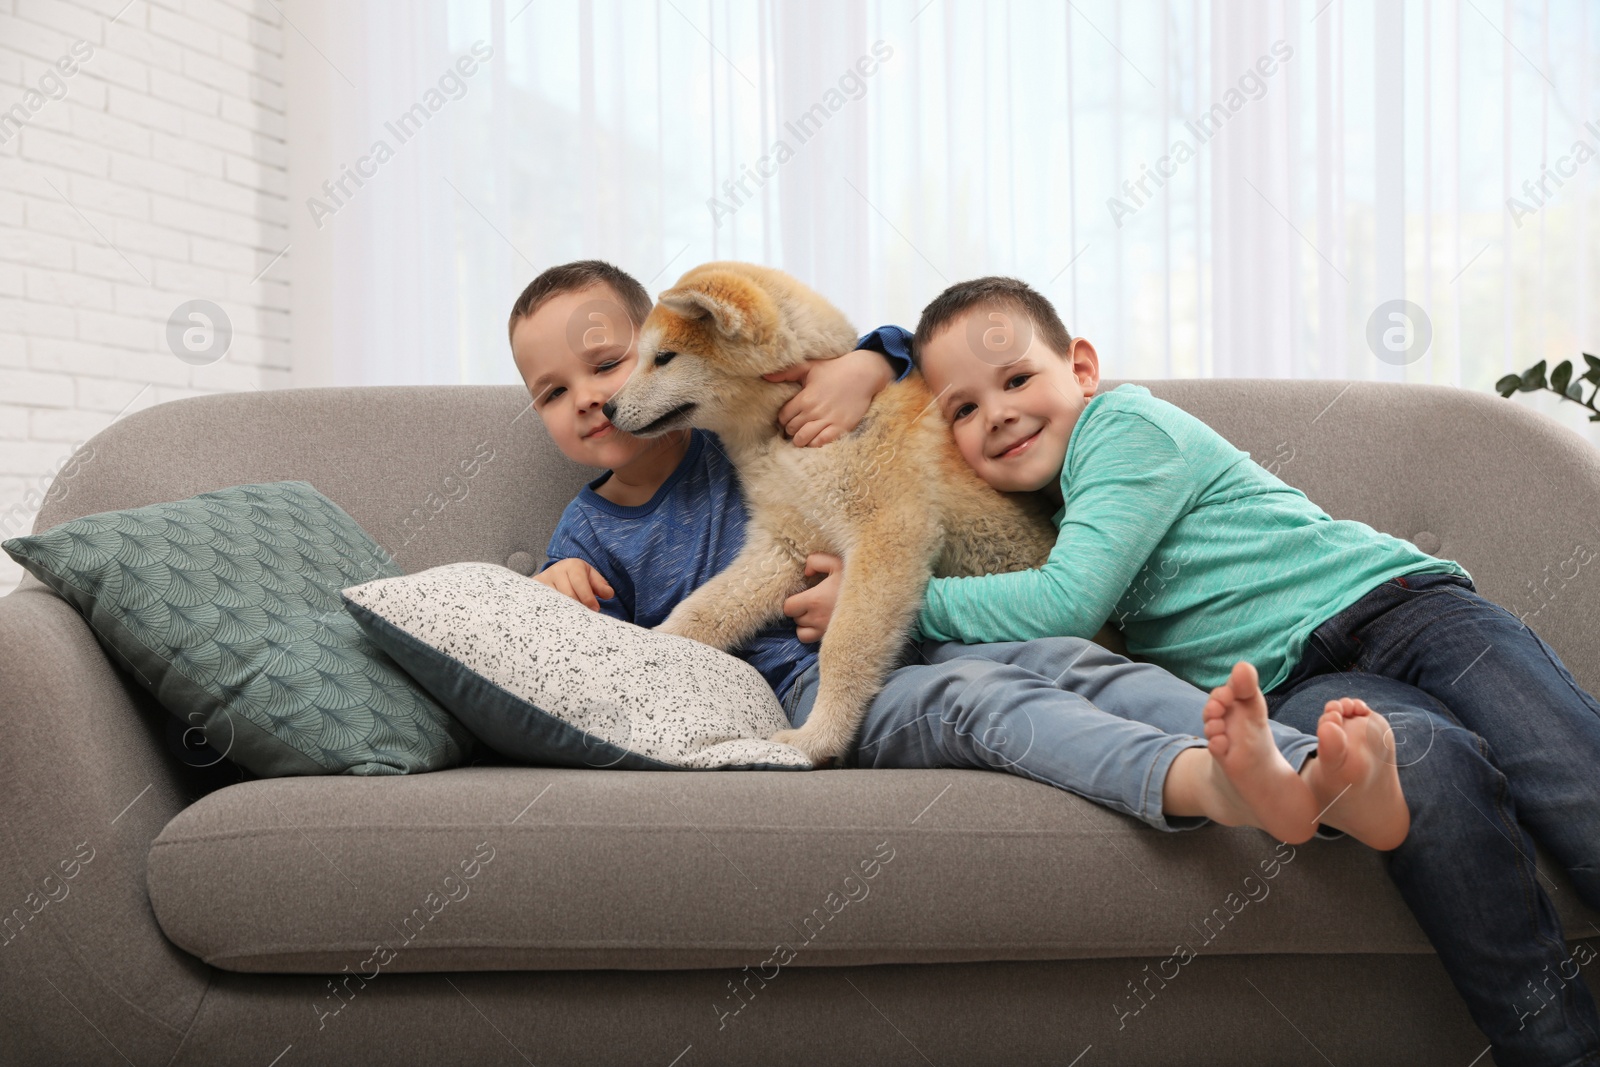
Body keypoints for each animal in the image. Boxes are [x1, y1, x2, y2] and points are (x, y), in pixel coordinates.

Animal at [604, 265, 1056, 767]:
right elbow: (701, 612)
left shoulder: (888, 534)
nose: (607, 408)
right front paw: (646, 643)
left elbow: (843, 646)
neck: (778, 434)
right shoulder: (786, 545)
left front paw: (818, 738)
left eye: (664, 358)